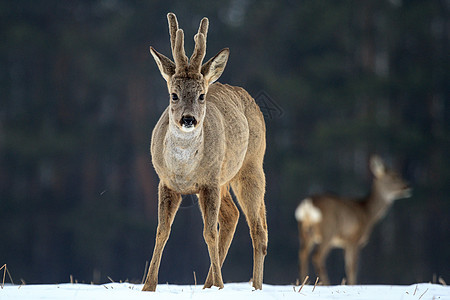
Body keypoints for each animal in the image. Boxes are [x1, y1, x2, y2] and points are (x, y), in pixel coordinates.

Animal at [141, 12, 268, 292]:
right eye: (173, 95)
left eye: (201, 96)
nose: (188, 119)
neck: (184, 170)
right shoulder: (166, 182)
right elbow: (161, 231)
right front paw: (148, 286)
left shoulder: (208, 183)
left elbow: (209, 232)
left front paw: (221, 285)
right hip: (224, 180)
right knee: (232, 216)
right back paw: (208, 284)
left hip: (251, 165)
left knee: (257, 227)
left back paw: (254, 287)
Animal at [296, 156, 412, 284]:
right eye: (394, 176)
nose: (408, 186)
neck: (368, 213)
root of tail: (308, 204)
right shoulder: (354, 238)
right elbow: (352, 267)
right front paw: (352, 284)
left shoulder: (346, 243)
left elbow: (348, 265)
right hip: (328, 230)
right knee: (317, 256)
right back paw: (326, 284)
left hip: (305, 231)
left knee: (302, 255)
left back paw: (304, 282)